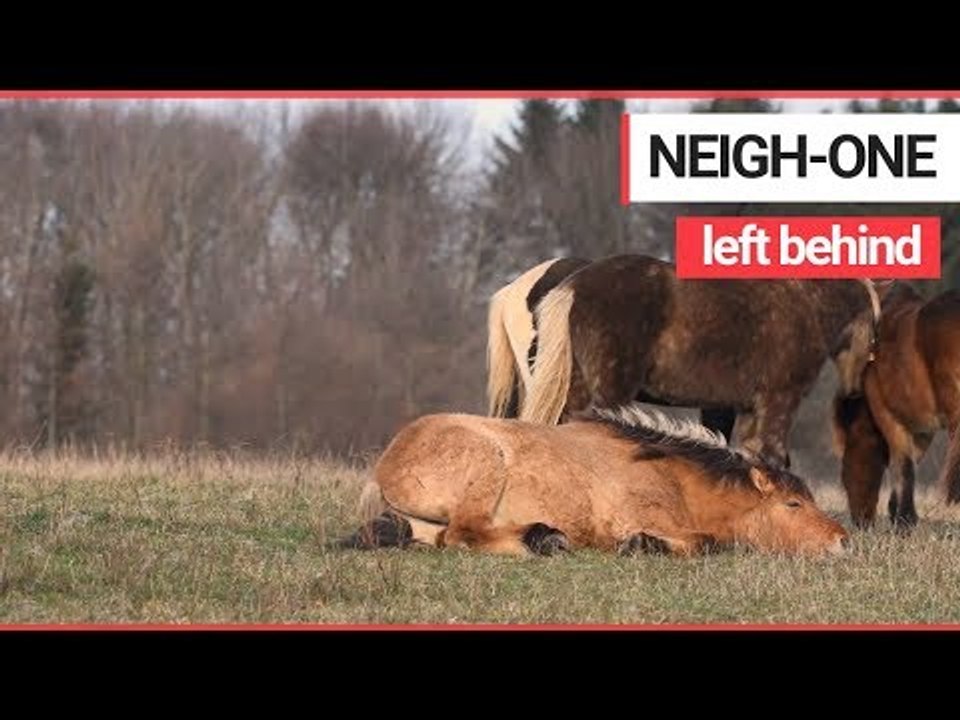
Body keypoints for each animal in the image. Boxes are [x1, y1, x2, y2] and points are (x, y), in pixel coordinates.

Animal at [339, 406, 849, 557]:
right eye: (793, 505)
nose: (843, 541)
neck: (669, 476)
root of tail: (390, 459)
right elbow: (704, 542)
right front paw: (643, 545)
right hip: (487, 468)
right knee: (464, 535)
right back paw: (540, 538)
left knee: (438, 537)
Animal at [520, 254, 882, 467]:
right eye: (873, 321)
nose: (855, 388)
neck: (809, 303)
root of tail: (572, 286)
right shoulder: (780, 400)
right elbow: (774, 456)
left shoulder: (749, 409)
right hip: (611, 391)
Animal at [832, 285, 960, 528]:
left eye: (844, 476)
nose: (861, 523)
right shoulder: (921, 430)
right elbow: (908, 465)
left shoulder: (889, 418)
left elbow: (903, 467)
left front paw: (903, 520)